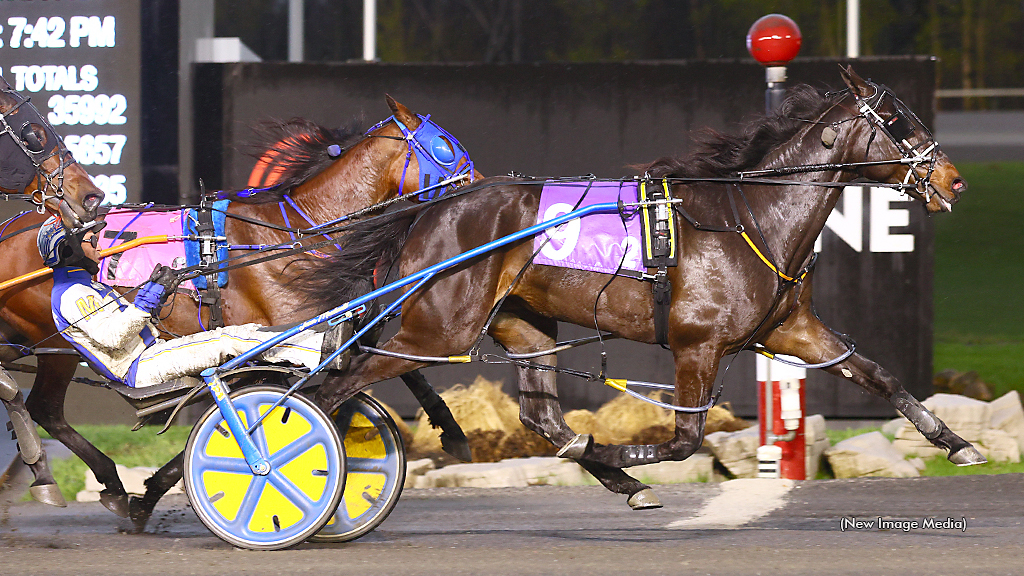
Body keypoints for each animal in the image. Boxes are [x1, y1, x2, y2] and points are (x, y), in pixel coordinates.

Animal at [0, 95, 479, 528]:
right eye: (445, 146)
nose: (480, 183)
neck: (295, 234)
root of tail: (10, 230)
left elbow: (398, 364)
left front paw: (451, 430)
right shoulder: (272, 340)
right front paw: (162, 489)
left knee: (43, 407)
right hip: (53, 341)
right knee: (43, 406)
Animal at [309, 66, 974, 506]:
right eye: (897, 122)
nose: (954, 180)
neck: (753, 217)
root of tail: (431, 208)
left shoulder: (793, 328)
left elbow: (878, 374)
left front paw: (955, 442)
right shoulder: (696, 344)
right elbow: (683, 440)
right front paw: (615, 454)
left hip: (523, 325)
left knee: (540, 417)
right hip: (440, 329)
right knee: (338, 382)